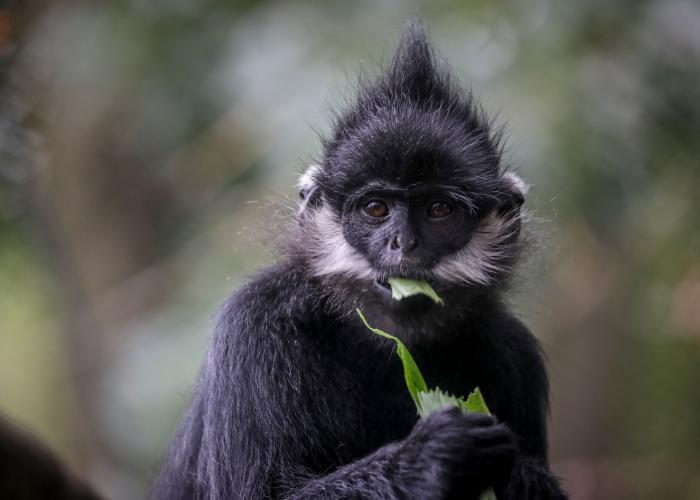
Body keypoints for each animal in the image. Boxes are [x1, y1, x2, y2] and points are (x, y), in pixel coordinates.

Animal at [153, 20, 568, 500]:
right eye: (375, 208)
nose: (403, 243)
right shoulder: (253, 324)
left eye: (438, 210)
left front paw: (510, 466)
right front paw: (433, 456)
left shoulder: (516, 356)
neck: (381, 345)